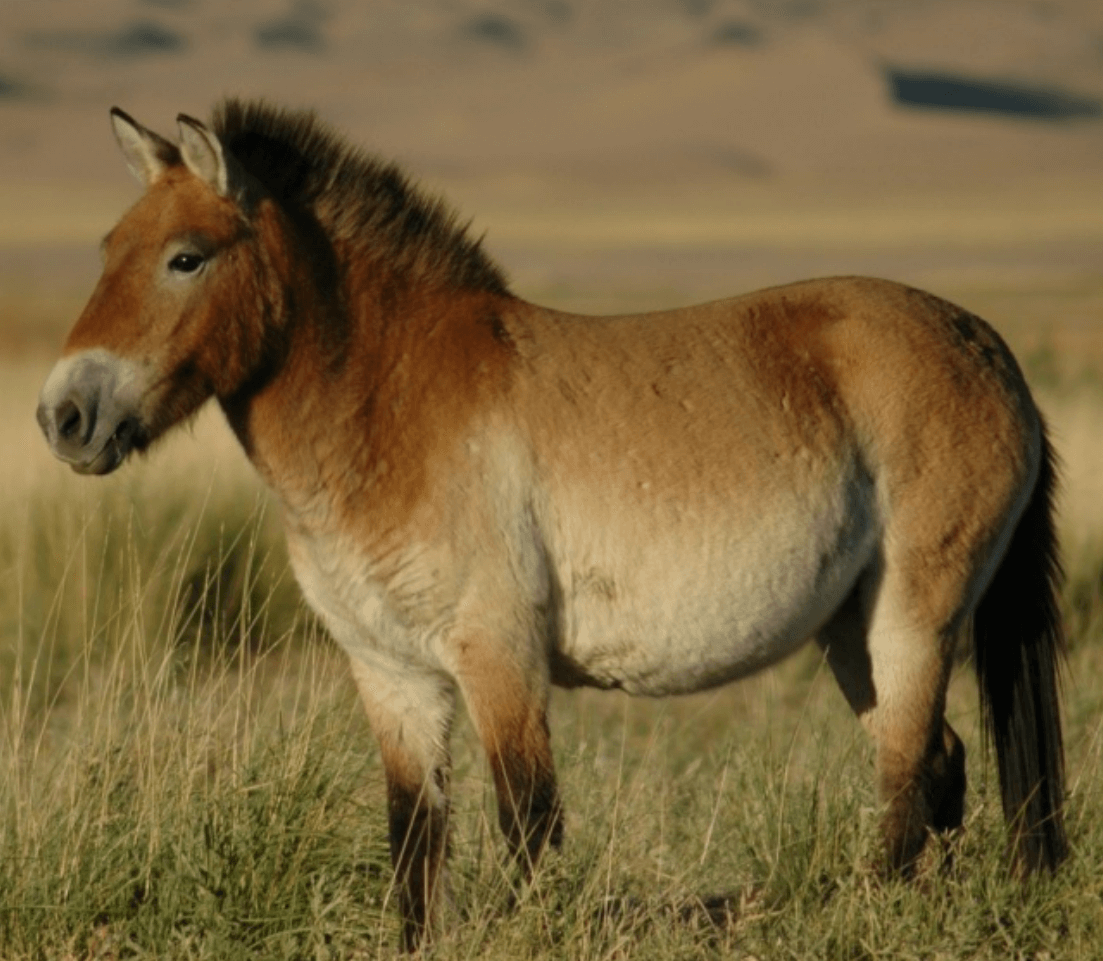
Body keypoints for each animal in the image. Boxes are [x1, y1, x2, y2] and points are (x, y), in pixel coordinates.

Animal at [38, 101, 1063, 948]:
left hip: (912, 618)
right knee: (936, 763)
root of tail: (985, 344)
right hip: (851, 631)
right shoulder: (391, 672)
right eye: (106, 247)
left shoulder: (498, 655)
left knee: (908, 778)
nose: (64, 416)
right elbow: (414, 842)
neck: (391, 407)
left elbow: (527, 823)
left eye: (186, 256)